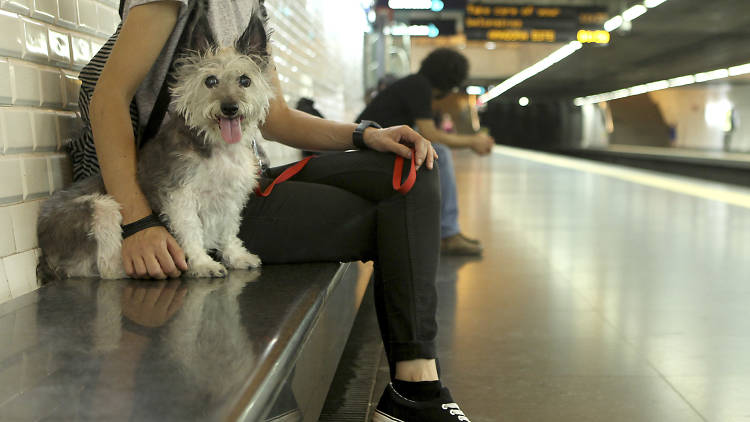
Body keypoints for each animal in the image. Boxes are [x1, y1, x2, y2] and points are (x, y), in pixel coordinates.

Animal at [36, 18, 274, 280]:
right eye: (210, 80)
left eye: (245, 80)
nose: (230, 107)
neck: (217, 144)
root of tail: (45, 254)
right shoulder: (180, 195)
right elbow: (191, 230)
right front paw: (202, 263)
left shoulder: (231, 196)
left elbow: (229, 229)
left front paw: (236, 256)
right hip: (101, 207)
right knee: (107, 267)